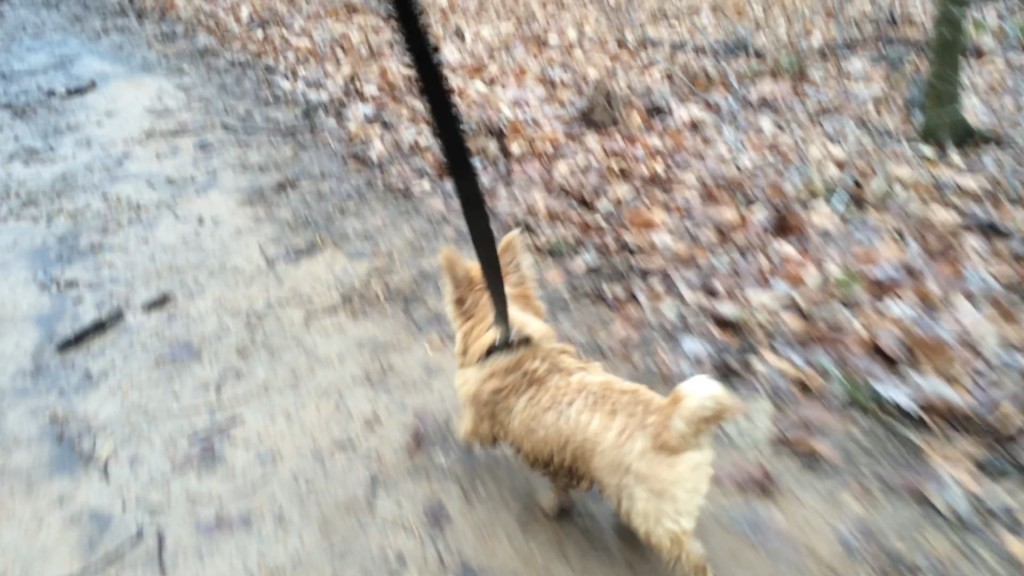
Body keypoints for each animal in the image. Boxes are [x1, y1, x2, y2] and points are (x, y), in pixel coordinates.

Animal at [440, 229, 745, 573]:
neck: (510, 343)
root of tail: (672, 420)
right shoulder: (558, 459)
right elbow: (559, 488)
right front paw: (555, 506)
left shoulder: (479, 418)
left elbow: (467, 429)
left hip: (655, 518)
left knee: (691, 555)